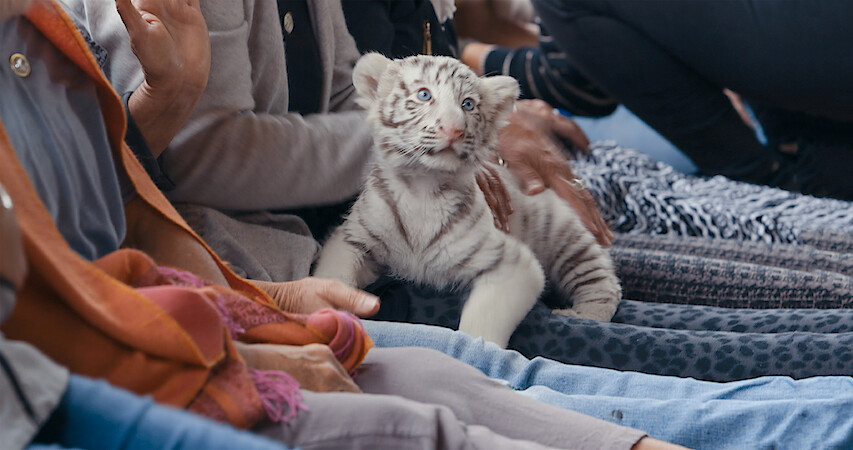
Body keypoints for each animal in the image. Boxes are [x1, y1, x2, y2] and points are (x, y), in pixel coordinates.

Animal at [314, 53, 620, 347]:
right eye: (424, 94)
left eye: (468, 104)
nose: (454, 130)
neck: (421, 187)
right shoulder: (351, 238)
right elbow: (332, 276)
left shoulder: (512, 264)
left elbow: (481, 326)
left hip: (567, 237)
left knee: (605, 284)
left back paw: (581, 314)